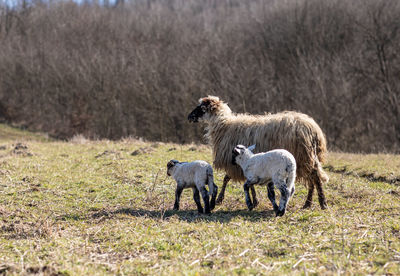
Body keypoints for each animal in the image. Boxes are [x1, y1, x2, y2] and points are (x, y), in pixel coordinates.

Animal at [189, 95, 330, 209]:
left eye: (202, 108)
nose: (189, 117)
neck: (224, 126)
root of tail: (313, 129)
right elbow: (244, 180)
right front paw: (255, 200)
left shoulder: (237, 161)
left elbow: (226, 178)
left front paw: (220, 199)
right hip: (308, 157)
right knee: (312, 178)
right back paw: (308, 204)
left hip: (303, 156)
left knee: (315, 177)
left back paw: (322, 203)